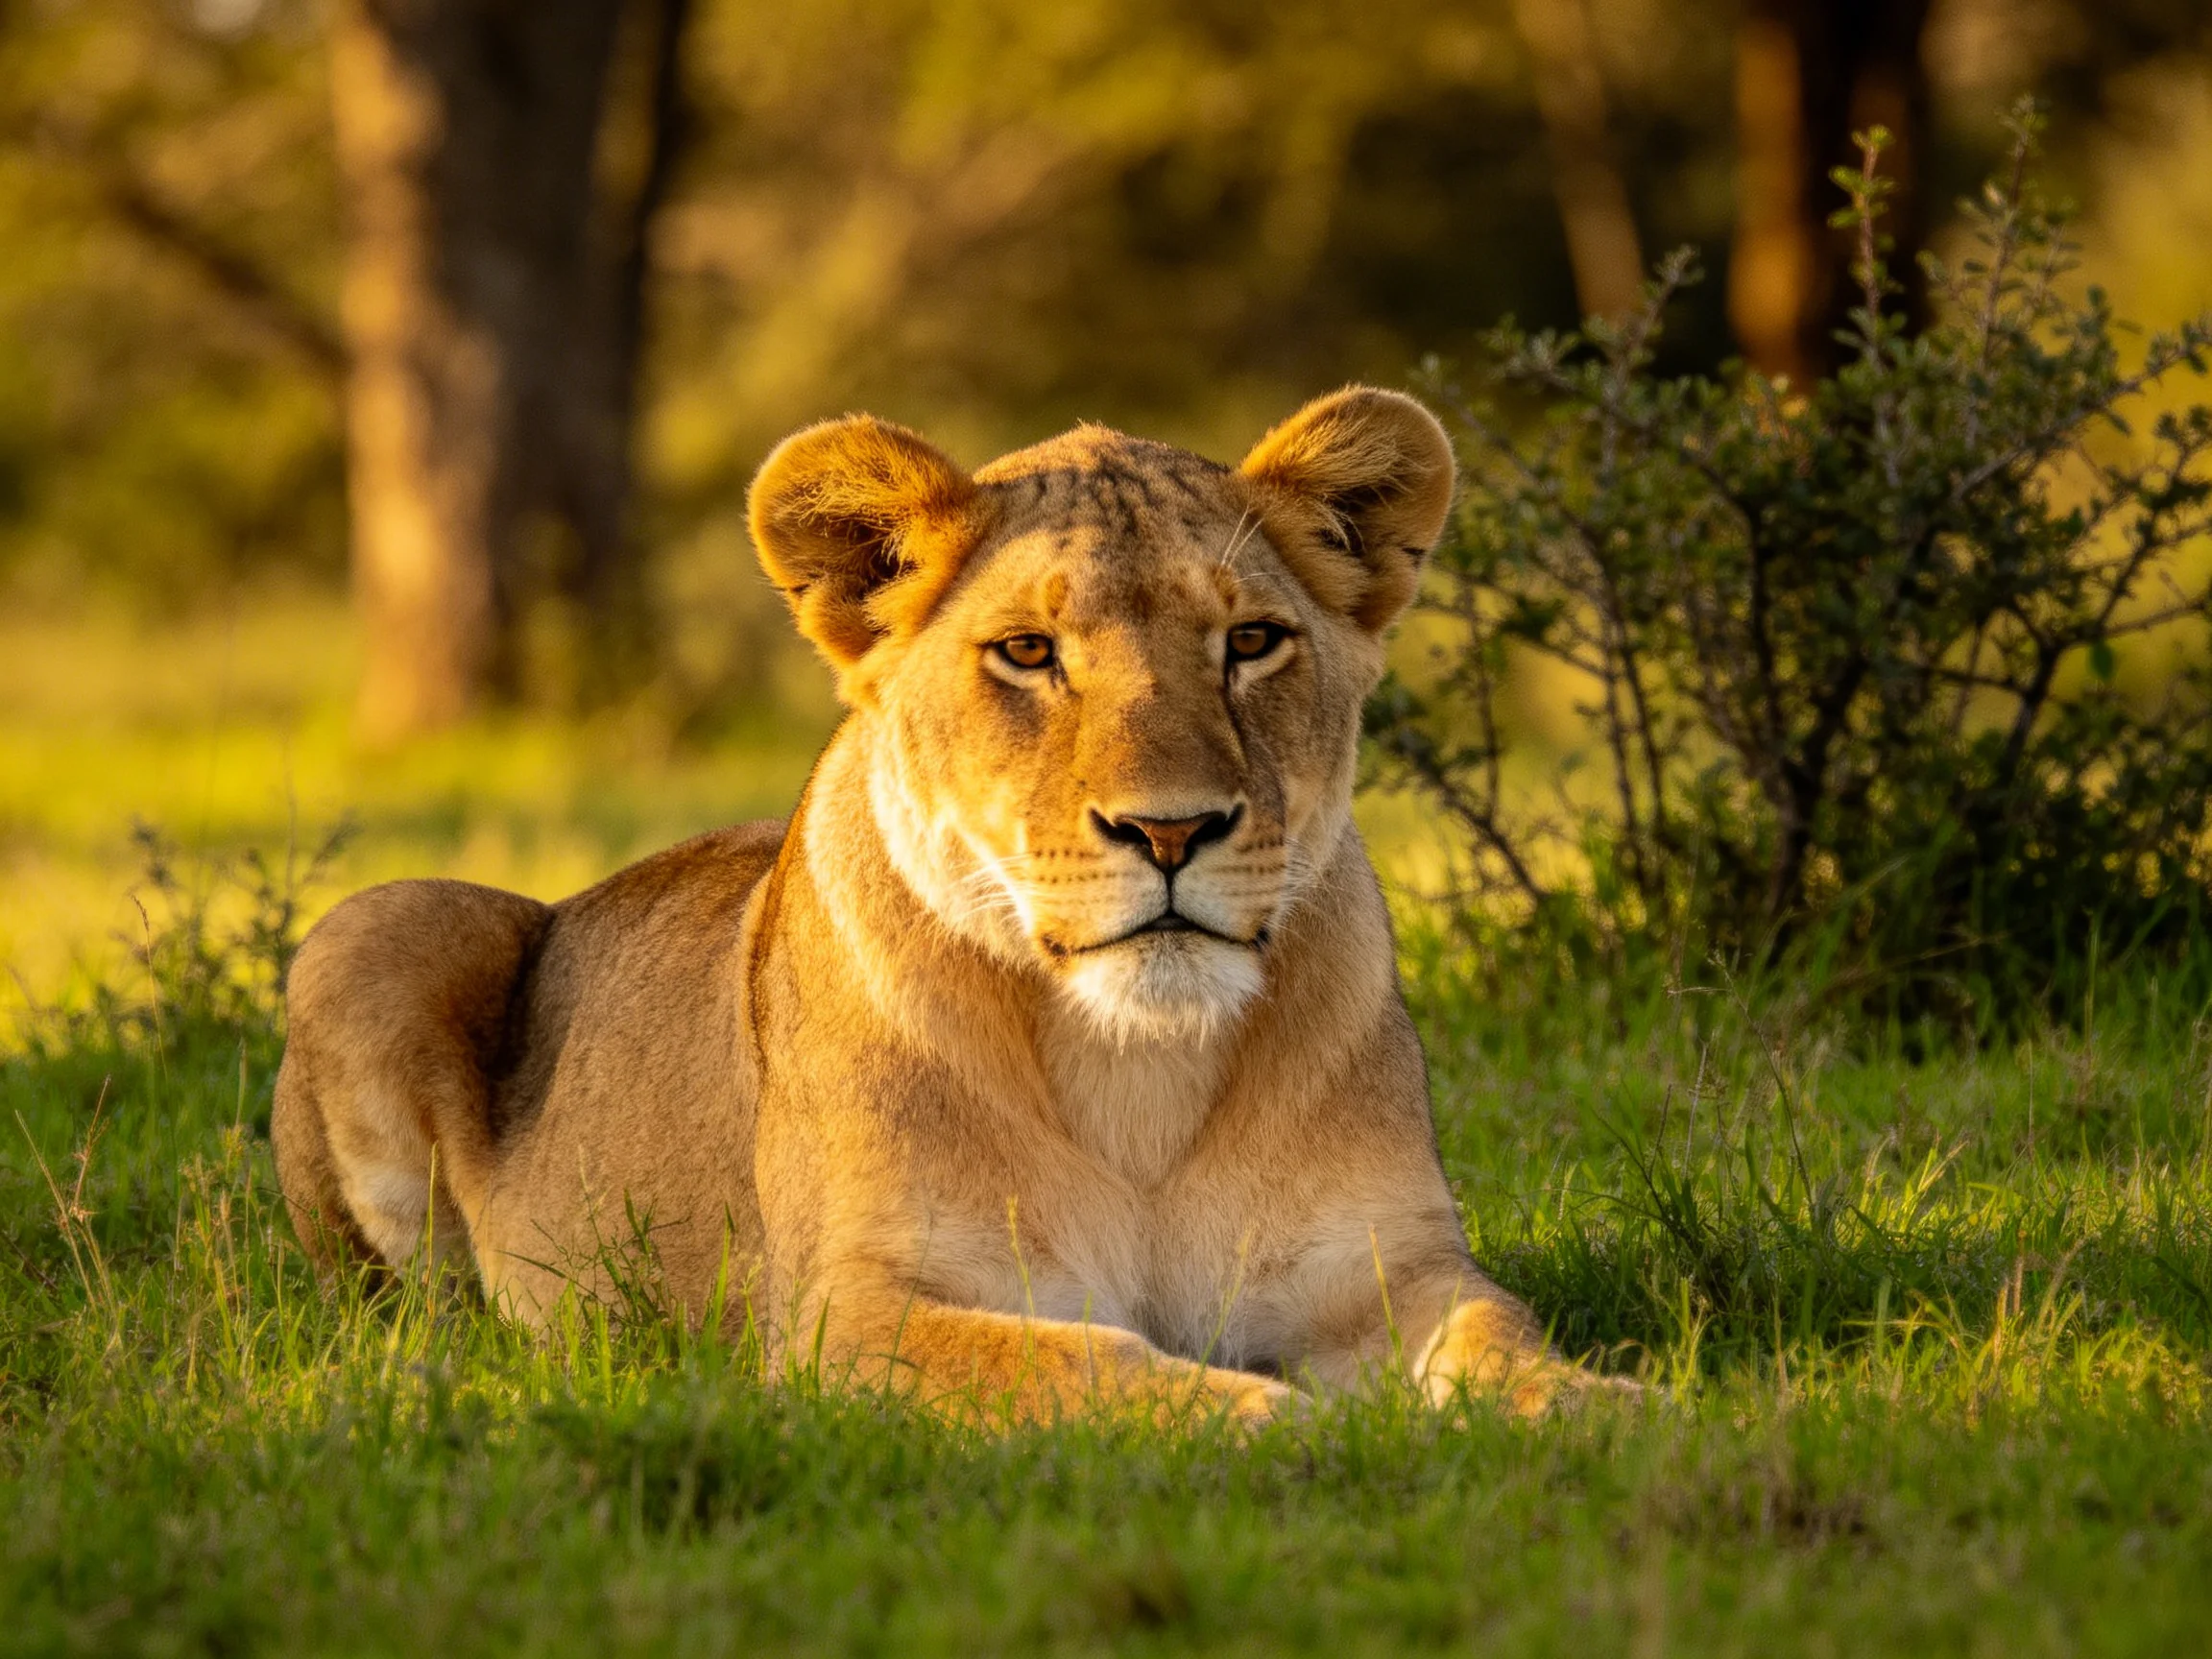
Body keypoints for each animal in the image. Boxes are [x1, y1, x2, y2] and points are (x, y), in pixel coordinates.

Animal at [271, 386, 1625, 1423]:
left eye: (1251, 641)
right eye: (1028, 653)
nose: (1172, 830)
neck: (1138, 1070)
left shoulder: (1390, 1270)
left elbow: (1502, 1339)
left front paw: (1610, 1413)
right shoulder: (849, 1316)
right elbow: (1091, 1366)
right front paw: (1277, 1422)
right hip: (374, 925)